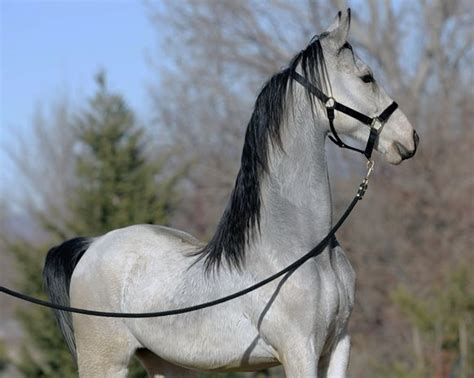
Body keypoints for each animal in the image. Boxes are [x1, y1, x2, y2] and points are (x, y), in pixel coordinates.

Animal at [42, 8, 416, 378]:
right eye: (367, 77)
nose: (410, 138)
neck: (305, 251)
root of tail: (92, 246)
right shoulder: (300, 351)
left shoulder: (338, 346)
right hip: (105, 362)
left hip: (165, 362)